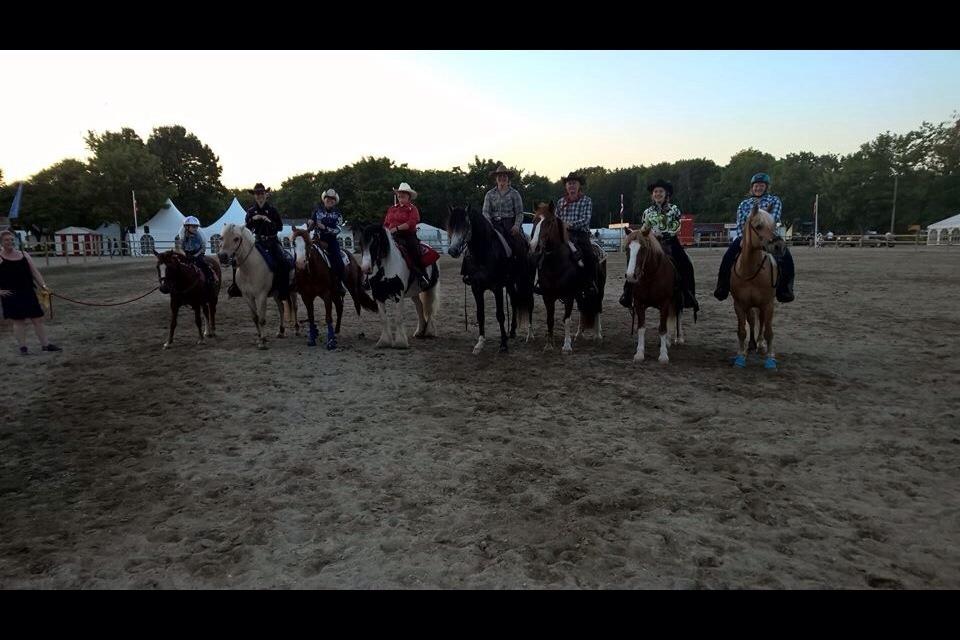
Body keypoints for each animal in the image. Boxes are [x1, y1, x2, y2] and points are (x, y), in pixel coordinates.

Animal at [446, 205, 536, 356]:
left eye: (466, 225)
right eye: (451, 225)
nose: (453, 250)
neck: (483, 254)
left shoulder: (497, 288)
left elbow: (500, 315)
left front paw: (503, 344)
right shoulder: (476, 288)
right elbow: (480, 315)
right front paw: (480, 343)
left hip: (525, 282)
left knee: (529, 302)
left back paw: (530, 334)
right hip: (510, 284)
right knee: (514, 302)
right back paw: (512, 331)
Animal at [524, 200, 608, 352]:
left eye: (549, 222)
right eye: (534, 221)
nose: (534, 247)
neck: (556, 263)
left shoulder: (569, 295)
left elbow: (567, 319)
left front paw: (567, 346)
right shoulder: (548, 296)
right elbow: (550, 319)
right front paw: (549, 345)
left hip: (599, 289)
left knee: (597, 308)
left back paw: (598, 336)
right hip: (580, 293)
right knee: (582, 309)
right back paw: (579, 334)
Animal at [624, 228, 684, 362]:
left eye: (643, 248)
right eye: (626, 249)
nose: (631, 276)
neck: (651, 277)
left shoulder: (664, 303)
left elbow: (662, 328)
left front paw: (663, 355)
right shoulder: (639, 303)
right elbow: (641, 328)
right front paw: (639, 353)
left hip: (676, 301)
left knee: (677, 315)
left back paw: (678, 339)